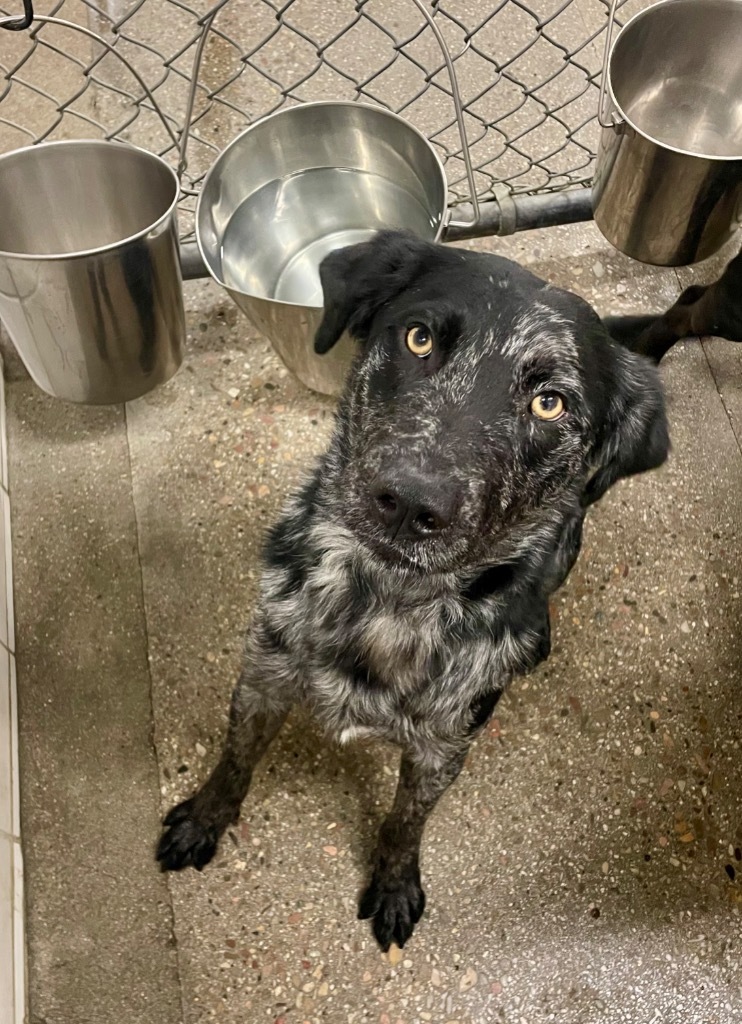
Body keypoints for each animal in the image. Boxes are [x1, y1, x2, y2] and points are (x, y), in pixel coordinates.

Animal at [159, 228, 667, 946]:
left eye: (550, 402)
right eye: (419, 339)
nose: (409, 503)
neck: (384, 601)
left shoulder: (442, 749)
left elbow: (406, 820)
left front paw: (395, 882)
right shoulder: (263, 675)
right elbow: (235, 758)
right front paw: (207, 817)